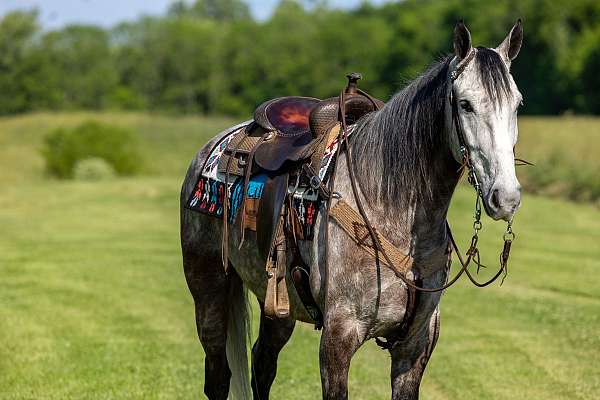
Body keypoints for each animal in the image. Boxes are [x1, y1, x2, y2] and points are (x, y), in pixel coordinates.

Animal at [180, 20, 524, 398]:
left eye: (517, 105)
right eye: (465, 104)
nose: (506, 196)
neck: (388, 207)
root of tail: (214, 146)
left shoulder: (415, 345)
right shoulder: (339, 336)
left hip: (277, 305)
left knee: (262, 364)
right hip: (209, 289)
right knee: (218, 375)